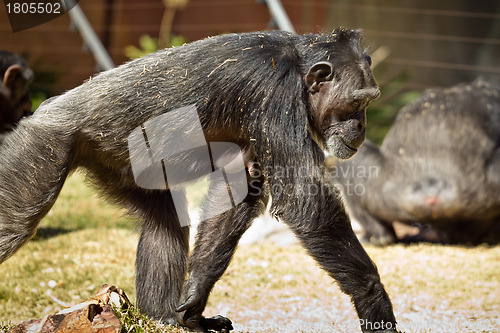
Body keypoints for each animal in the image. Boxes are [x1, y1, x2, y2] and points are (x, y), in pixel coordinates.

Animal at [0, 29, 398, 332]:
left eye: (369, 102)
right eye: (357, 103)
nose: (362, 126)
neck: (298, 70)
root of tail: (43, 110)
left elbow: (239, 187)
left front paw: (194, 300)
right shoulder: (277, 96)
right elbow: (306, 201)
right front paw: (373, 300)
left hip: (118, 167)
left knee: (164, 222)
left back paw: (162, 318)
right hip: (42, 146)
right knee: (15, 225)